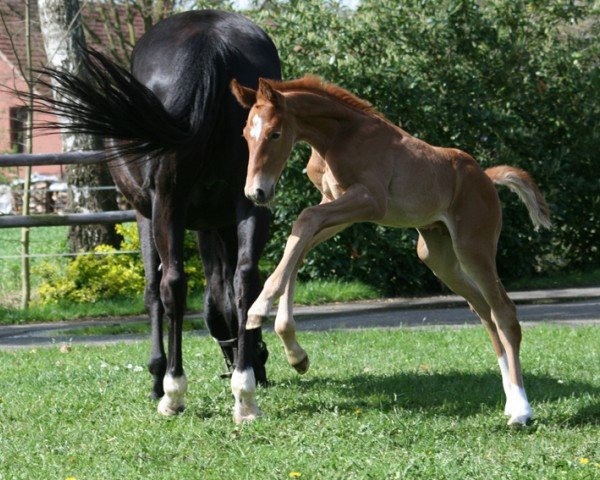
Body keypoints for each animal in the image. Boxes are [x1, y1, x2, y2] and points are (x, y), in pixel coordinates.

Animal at [32, 11, 284, 422]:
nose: (261, 365)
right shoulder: (219, 222)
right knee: (245, 278)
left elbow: (153, 290)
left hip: (166, 204)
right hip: (252, 201)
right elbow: (228, 286)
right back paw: (244, 396)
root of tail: (211, 44)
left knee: (173, 285)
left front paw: (156, 375)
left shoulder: (145, 214)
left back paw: (174, 390)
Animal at [232, 75, 552, 424]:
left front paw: (259, 308)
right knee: (484, 310)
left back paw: (521, 409)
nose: (256, 192)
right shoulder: (336, 204)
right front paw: (295, 352)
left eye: (275, 133)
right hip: (437, 255)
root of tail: (486, 177)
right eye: (245, 135)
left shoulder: (370, 201)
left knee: (504, 311)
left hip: (473, 247)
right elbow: (300, 241)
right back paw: (509, 399)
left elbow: (304, 221)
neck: (339, 136)